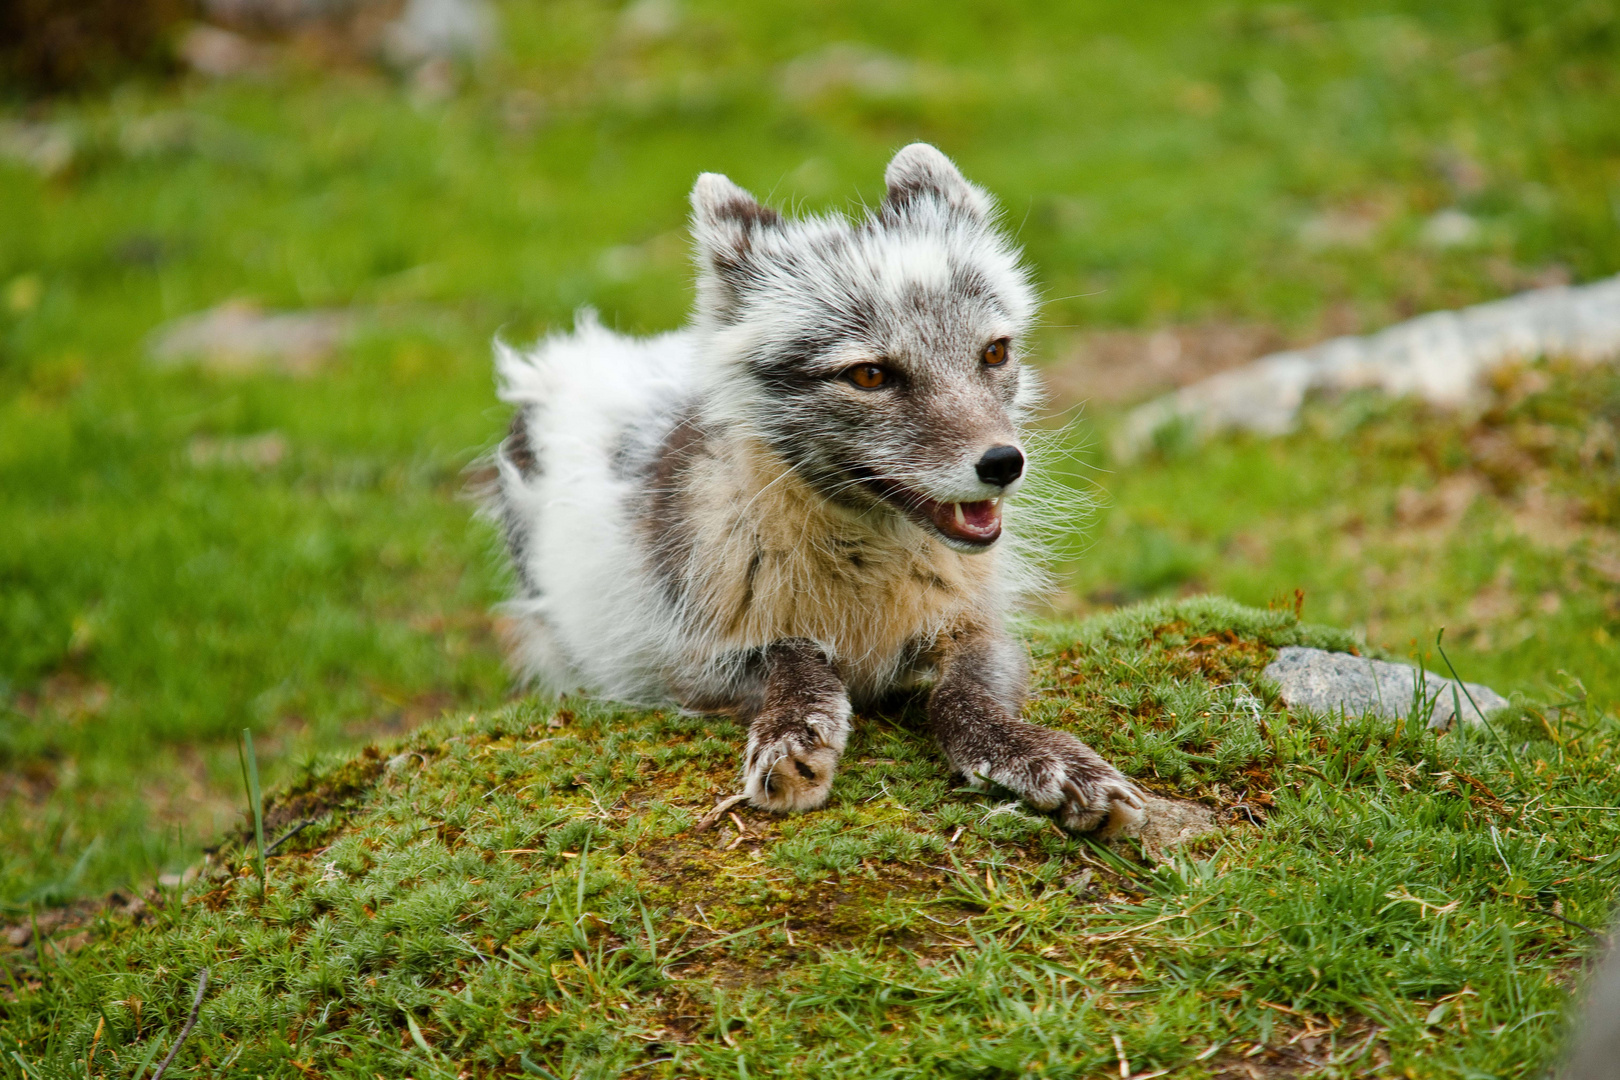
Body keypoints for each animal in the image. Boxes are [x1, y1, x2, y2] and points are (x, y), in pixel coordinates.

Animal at [489, 143, 1140, 835]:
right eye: (869, 375)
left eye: (993, 352)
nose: (1003, 463)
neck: (863, 562)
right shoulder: (679, 665)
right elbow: (793, 654)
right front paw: (795, 731)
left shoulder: (976, 626)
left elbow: (962, 695)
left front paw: (1042, 757)